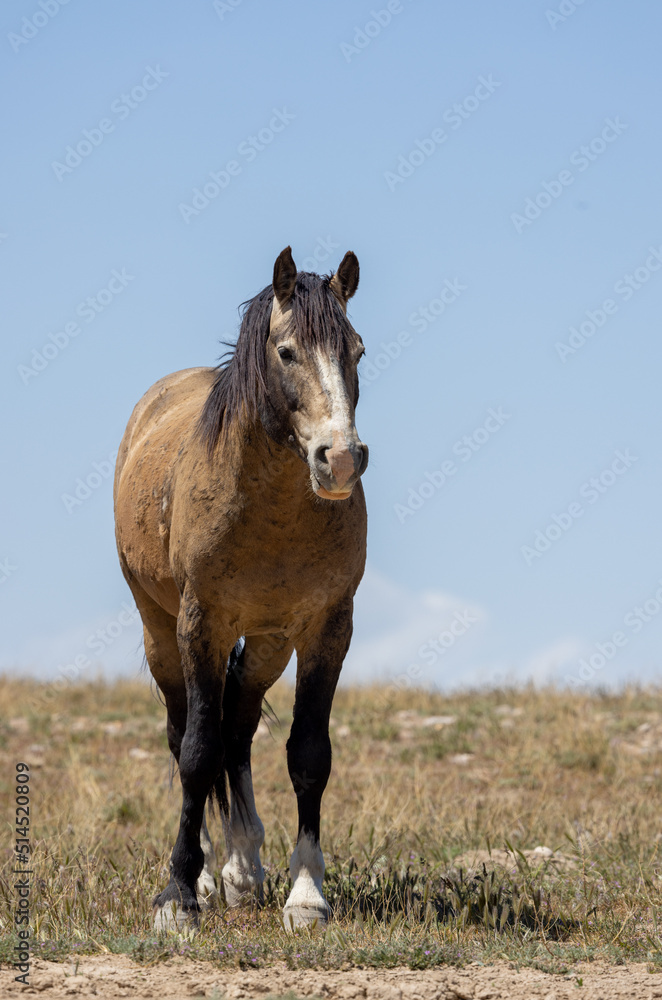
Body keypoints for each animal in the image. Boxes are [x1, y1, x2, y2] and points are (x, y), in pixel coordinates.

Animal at [113, 247, 368, 930]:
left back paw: (243, 868)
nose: (340, 459)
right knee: (185, 733)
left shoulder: (327, 628)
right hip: (161, 633)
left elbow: (308, 754)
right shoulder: (201, 623)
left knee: (239, 723)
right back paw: (205, 874)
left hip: (268, 645)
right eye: (286, 352)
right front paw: (177, 897)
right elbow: (196, 753)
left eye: (357, 351)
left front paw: (305, 895)